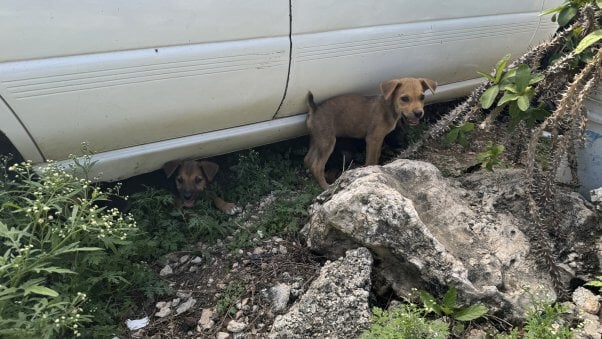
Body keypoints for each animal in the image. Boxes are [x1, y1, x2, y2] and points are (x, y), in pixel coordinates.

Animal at [302, 76, 434, 189]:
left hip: (317, 140)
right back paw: (326, 186)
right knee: (317, 166)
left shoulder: (379, 139)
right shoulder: (373, 139)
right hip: (327, 142)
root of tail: (314, 109)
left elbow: (376, 157)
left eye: (422, 97)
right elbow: (371, 160)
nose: (419, 113)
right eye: (405, 98)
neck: (388, 107)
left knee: (308, 159)